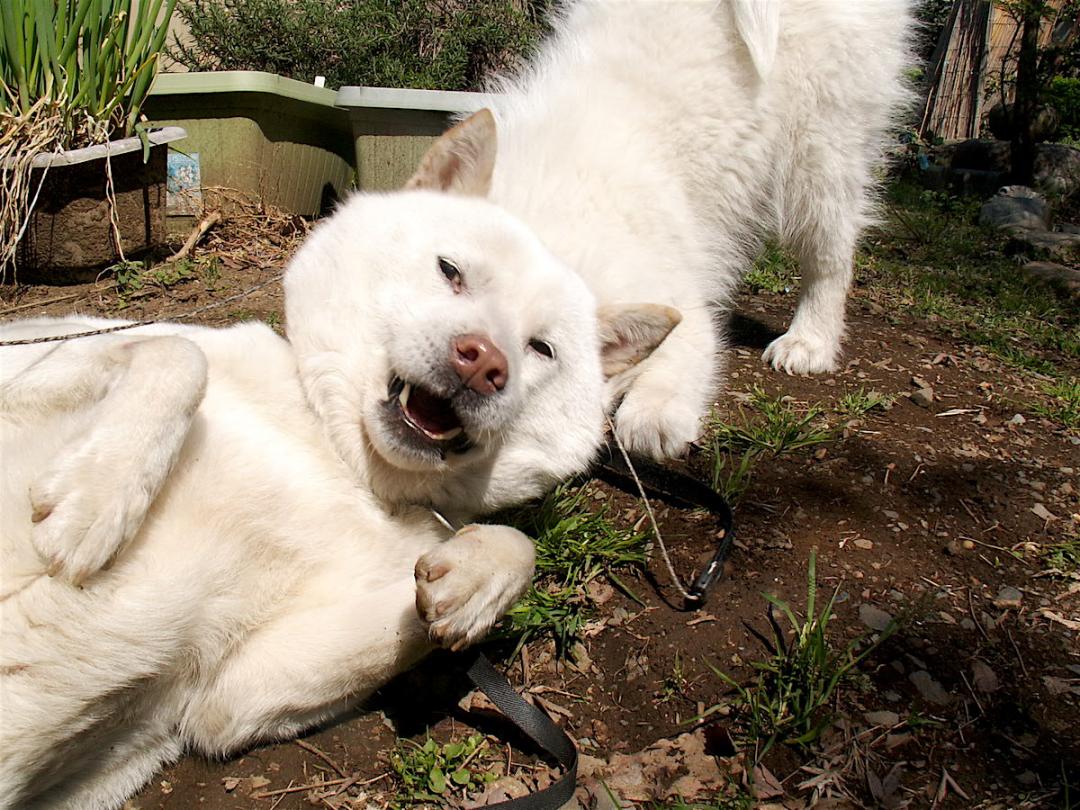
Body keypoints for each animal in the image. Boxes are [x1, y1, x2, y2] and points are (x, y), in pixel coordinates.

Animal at [0, 3, 911, 807]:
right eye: (451, 271)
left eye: (542, 349)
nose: (484, 364)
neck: (337, 460)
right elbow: (175, 352)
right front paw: (94, 506)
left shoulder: (231, 693)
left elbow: (517, 547)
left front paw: (472, 583)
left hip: (819, 152)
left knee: (833, 250)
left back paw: (805, 340)